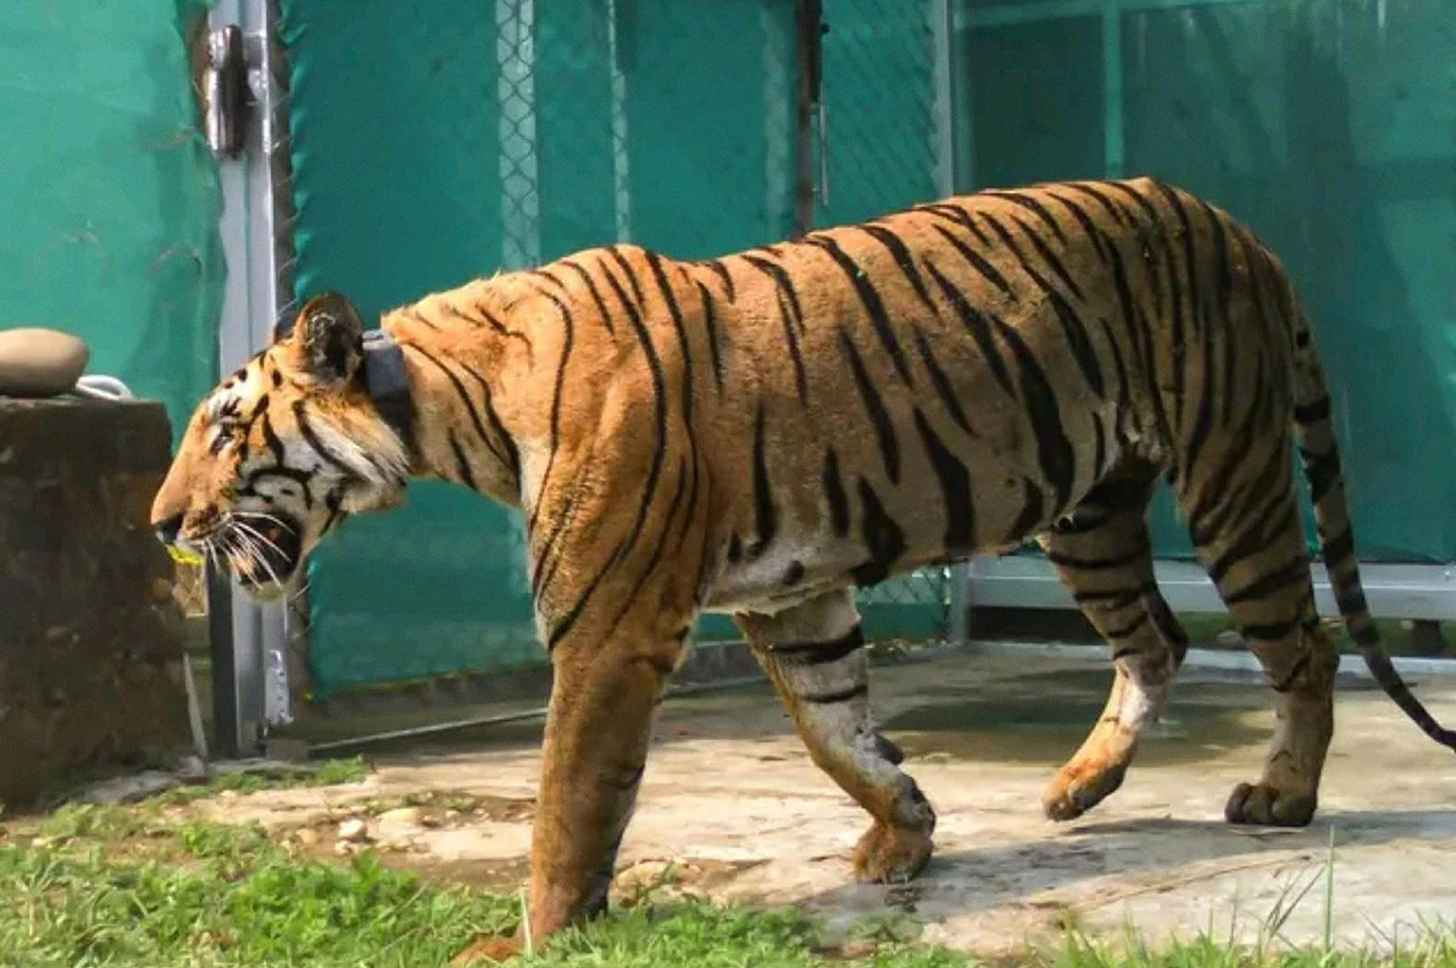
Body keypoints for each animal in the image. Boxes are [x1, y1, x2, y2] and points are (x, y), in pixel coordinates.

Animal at [151, 176, 1456, 958]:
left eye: (221, 428)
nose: (163, 521)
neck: (441, 403)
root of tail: (1236, 226)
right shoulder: (794, 594)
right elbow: (838, 734)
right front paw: (905, 833)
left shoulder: (608, 630)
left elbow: (569, 807)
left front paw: (535, 935)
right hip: (1086, 509)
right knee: (1157, 637)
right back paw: (1076, 786)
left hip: (1230, 475)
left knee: (1301, 643)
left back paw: (1280, 793)